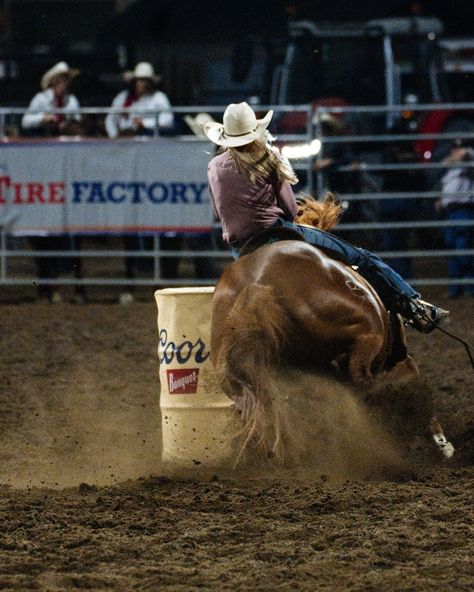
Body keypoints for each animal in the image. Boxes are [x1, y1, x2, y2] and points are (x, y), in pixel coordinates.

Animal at [210, 194, 452, 462]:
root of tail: (257, 283)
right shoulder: (401, 358)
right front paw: (443, 445)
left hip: (242, 381)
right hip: (368, 331)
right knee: (362, 380)